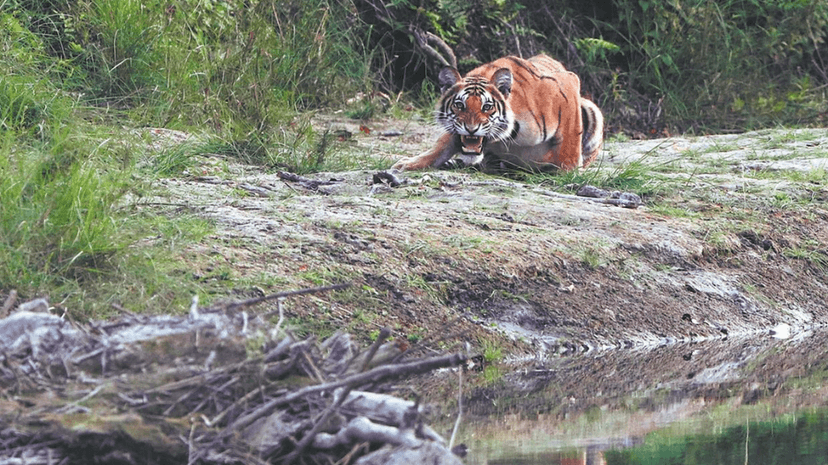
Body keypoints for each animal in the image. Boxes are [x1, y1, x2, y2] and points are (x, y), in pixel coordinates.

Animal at [392, 54, 604, 172]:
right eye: (459, 105)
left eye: (487, 107)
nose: (471, 129)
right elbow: (441, 145)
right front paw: (408, 164)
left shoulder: (567, 84)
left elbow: (569, 140)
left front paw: (566, 170)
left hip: (592, 110)